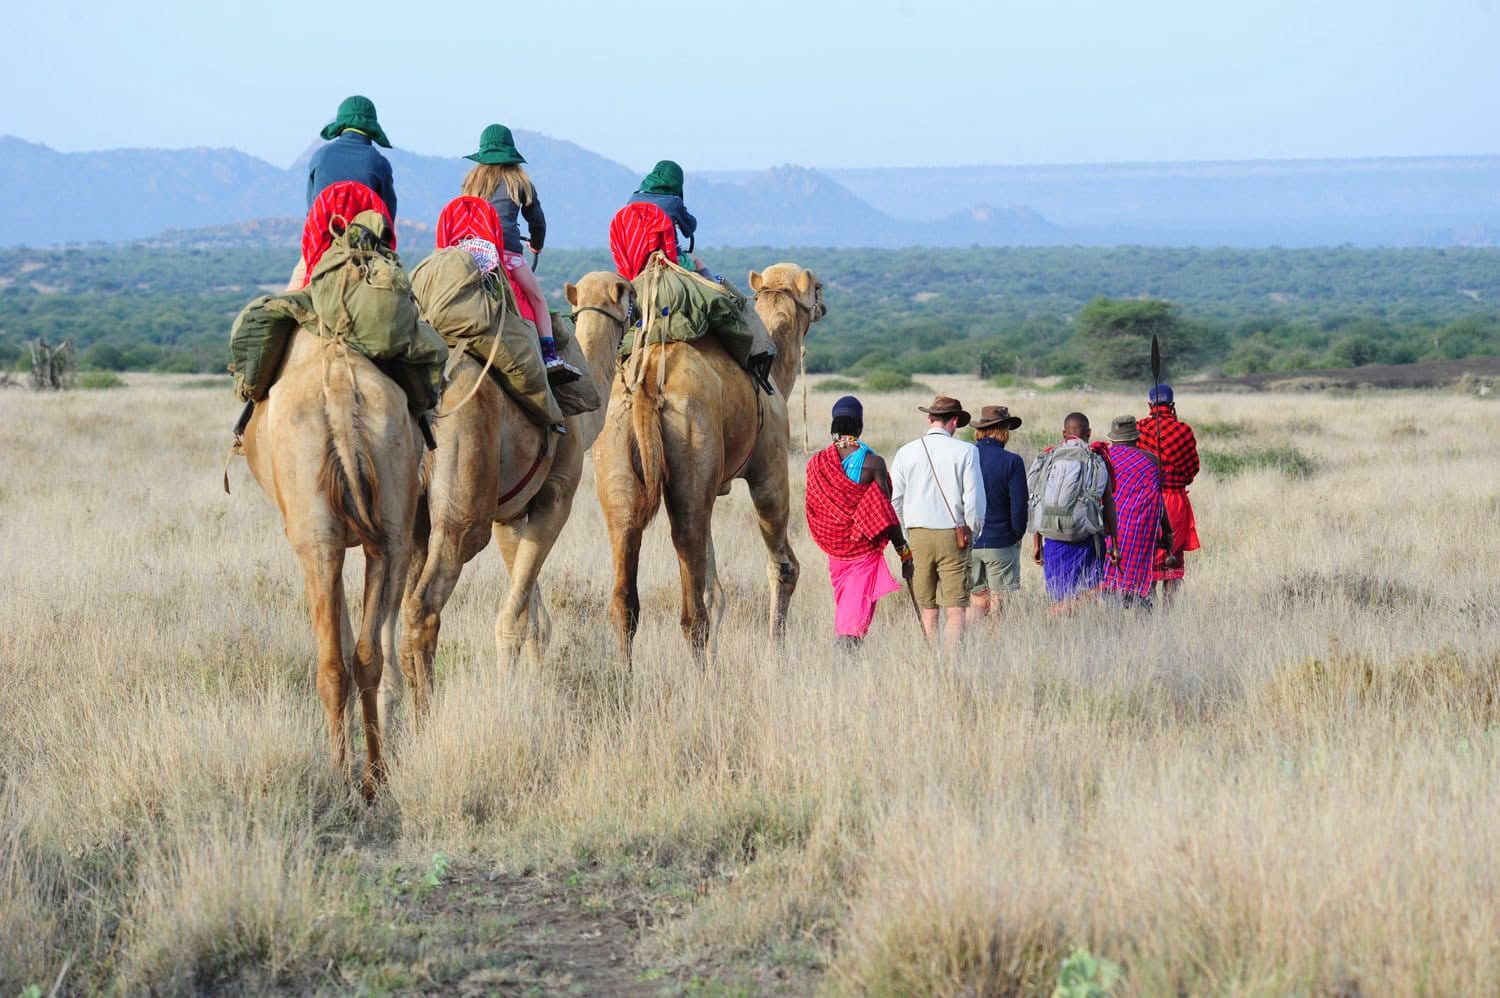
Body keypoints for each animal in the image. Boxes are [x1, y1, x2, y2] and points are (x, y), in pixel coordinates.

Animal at [240, 329, 423, 798]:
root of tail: (339, 392)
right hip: (393, 526)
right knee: (366, 656)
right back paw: (375, 778)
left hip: (316, 539)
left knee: (330, 663)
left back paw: (341, 774)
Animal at [397, 271, 630, 711]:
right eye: (630, 295)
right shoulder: (556, 496)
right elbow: (514, 620)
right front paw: (512, 695)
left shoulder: (509, 514)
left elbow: (533, 616)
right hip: (464, 502)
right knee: (424, 603)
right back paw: (425, 714)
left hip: (409, 513)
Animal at [592, 262, 825, 661]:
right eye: (818, 287)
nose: (823, 305)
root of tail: (647, 383)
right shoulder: (771, 463)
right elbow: (783, 567)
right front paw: (774, 656)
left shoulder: (713, 488)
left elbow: (714, 587)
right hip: (692, 444)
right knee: (691, 604)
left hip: (615, 453)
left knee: (625, 584)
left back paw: (624, 673)